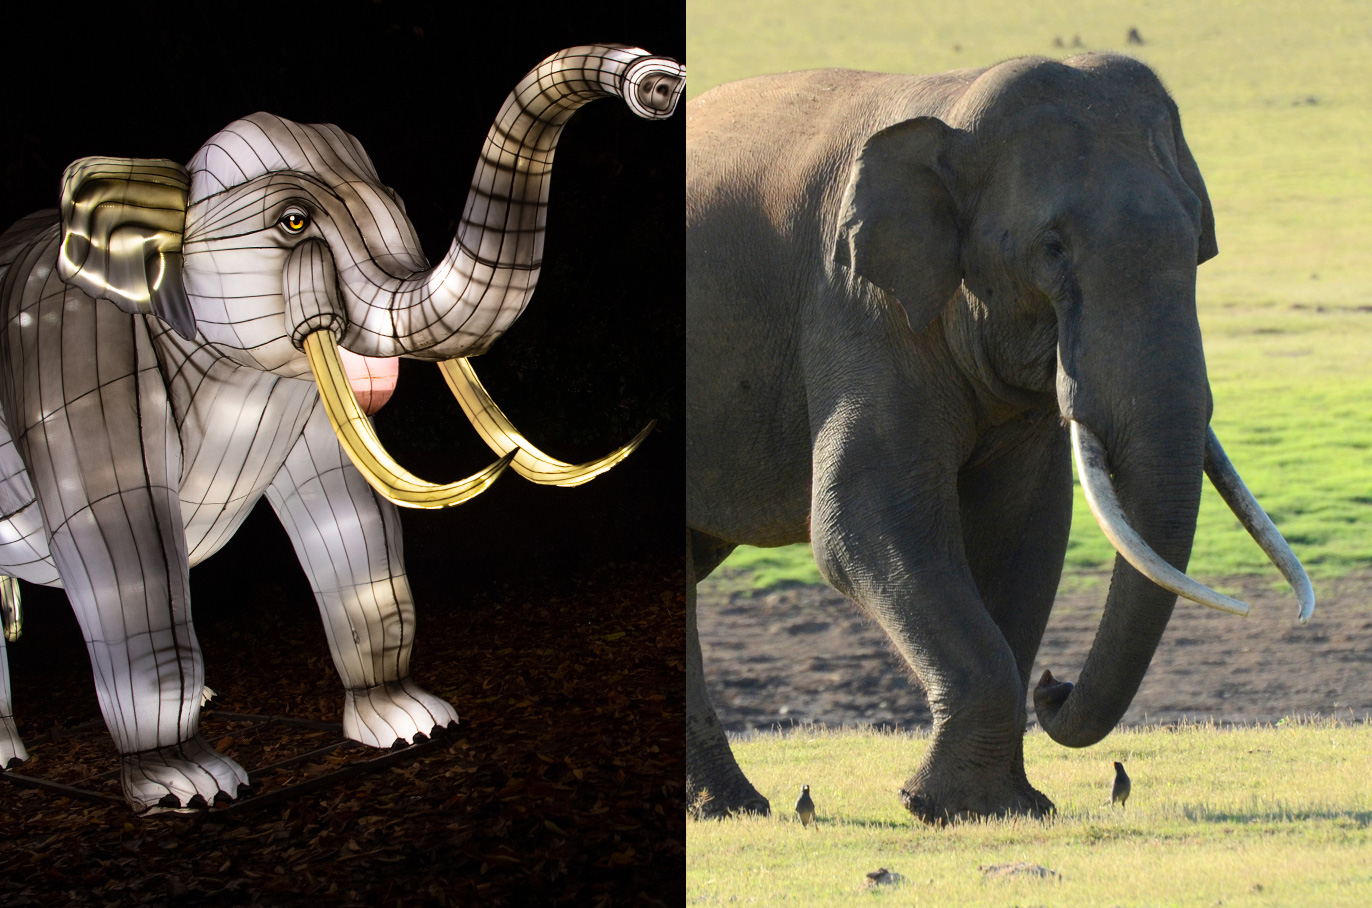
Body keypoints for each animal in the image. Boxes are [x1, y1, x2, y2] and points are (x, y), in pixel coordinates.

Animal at [0, 43, 683, 812]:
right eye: (294, 222)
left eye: (399, 208)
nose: (658, 82)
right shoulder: (77, 367)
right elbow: (123, 556)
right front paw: (190, 788)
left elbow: (349, 520)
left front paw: (412, 725)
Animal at [685, 53, 1312, 822]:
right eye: (1052, 248)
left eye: (1198, 246)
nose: (1054, 686)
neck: (953, 104)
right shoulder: (857, 307)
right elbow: (862, 523)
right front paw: (942, 808)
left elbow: (1024, 530)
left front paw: (1002, 807)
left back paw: (730, 808)